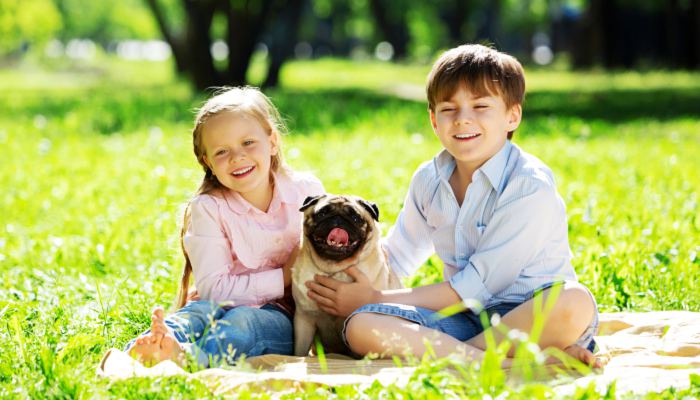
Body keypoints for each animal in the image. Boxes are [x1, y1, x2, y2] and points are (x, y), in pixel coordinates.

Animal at [290, 194, 400, 356]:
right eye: (322, 213)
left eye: (355, 218)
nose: (337, 218)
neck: (335, 270)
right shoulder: (304, 319)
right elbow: (300, 351)